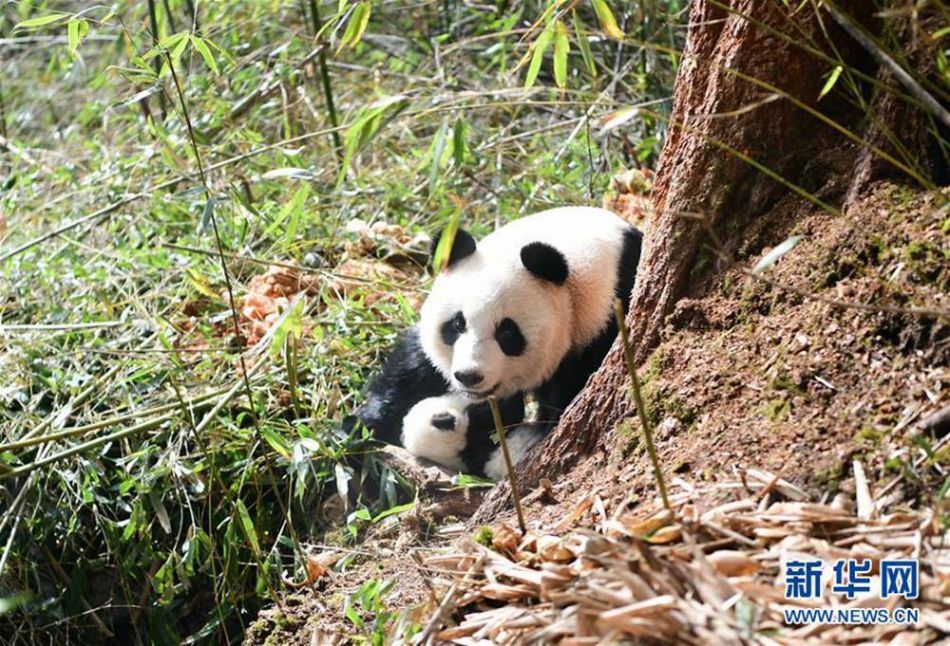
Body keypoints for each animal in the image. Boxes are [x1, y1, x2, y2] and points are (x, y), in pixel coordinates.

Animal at [354, 208, 644, 480]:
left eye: (507, 332)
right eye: (457, 324)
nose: (469, 376)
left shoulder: (604, 319)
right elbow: (414, 366)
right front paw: (363, 428)